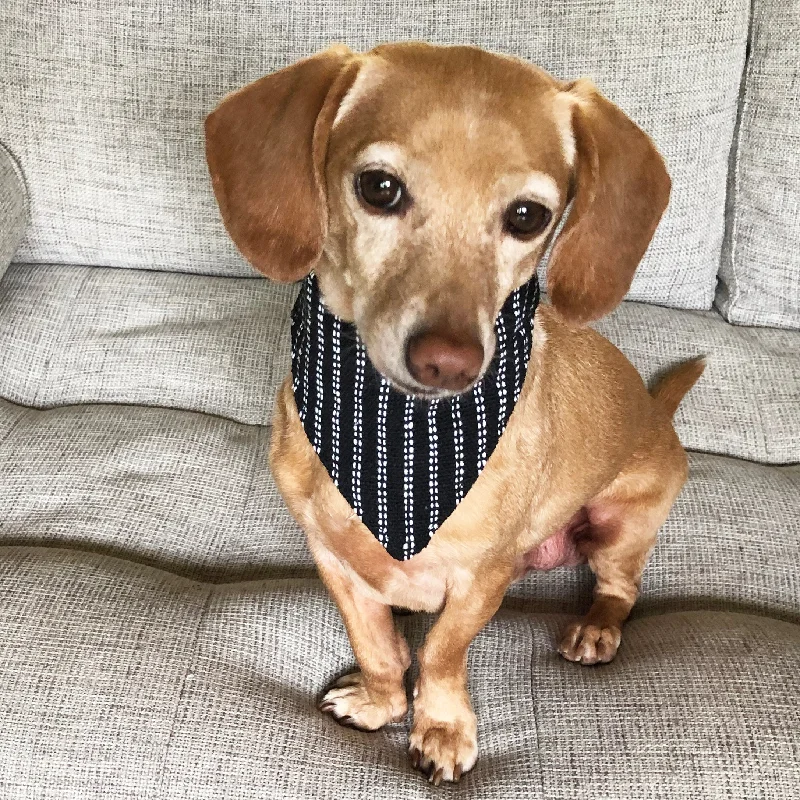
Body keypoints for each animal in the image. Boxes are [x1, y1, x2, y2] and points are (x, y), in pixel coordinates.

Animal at [205, 40, 700, 784]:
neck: (398, 442)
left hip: (623, 524)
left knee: (621, 587)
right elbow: (379, 643)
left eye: (527, 216)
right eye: (379, 188)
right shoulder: (334, 560)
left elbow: (439, 652)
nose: (449, 362)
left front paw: (439, 728)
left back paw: (595, 628)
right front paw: (380, 701)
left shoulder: (478, 582)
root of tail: (655, 413)